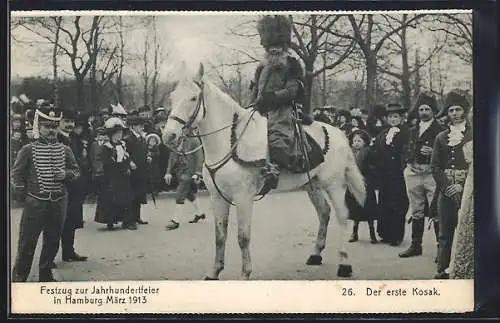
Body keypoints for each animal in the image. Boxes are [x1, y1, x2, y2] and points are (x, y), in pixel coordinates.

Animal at [162, 63, 366, 280]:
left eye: (193, 98)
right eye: (172, 97)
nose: (169, 136)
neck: (230, 141)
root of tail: (339, 133)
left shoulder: (243, 198)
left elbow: (243, 237)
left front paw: (245, 274)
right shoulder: (217, 197)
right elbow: (220, 236)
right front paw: (214, 271)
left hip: (334, 185)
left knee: (342, 217)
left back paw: (344, 264)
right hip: (312, 185)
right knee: (324, 213)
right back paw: (315, 255)